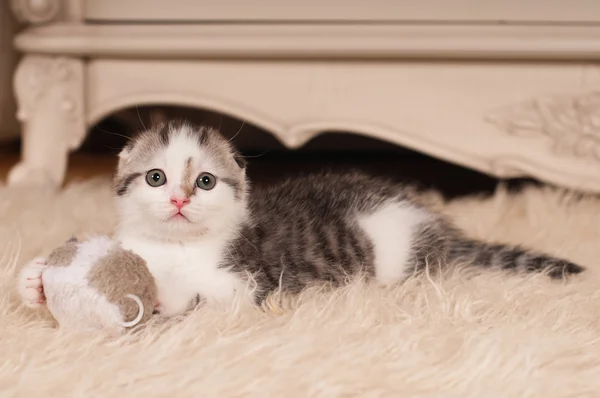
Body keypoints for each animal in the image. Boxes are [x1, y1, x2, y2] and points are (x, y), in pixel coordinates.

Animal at [17, 121, 580, 318]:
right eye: (156, 178)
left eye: (205, 182)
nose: (179, 200)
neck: (176, 246)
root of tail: (435, 222)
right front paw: (35, 280)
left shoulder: (247, 281)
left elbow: (204, 294)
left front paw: (160, 297)